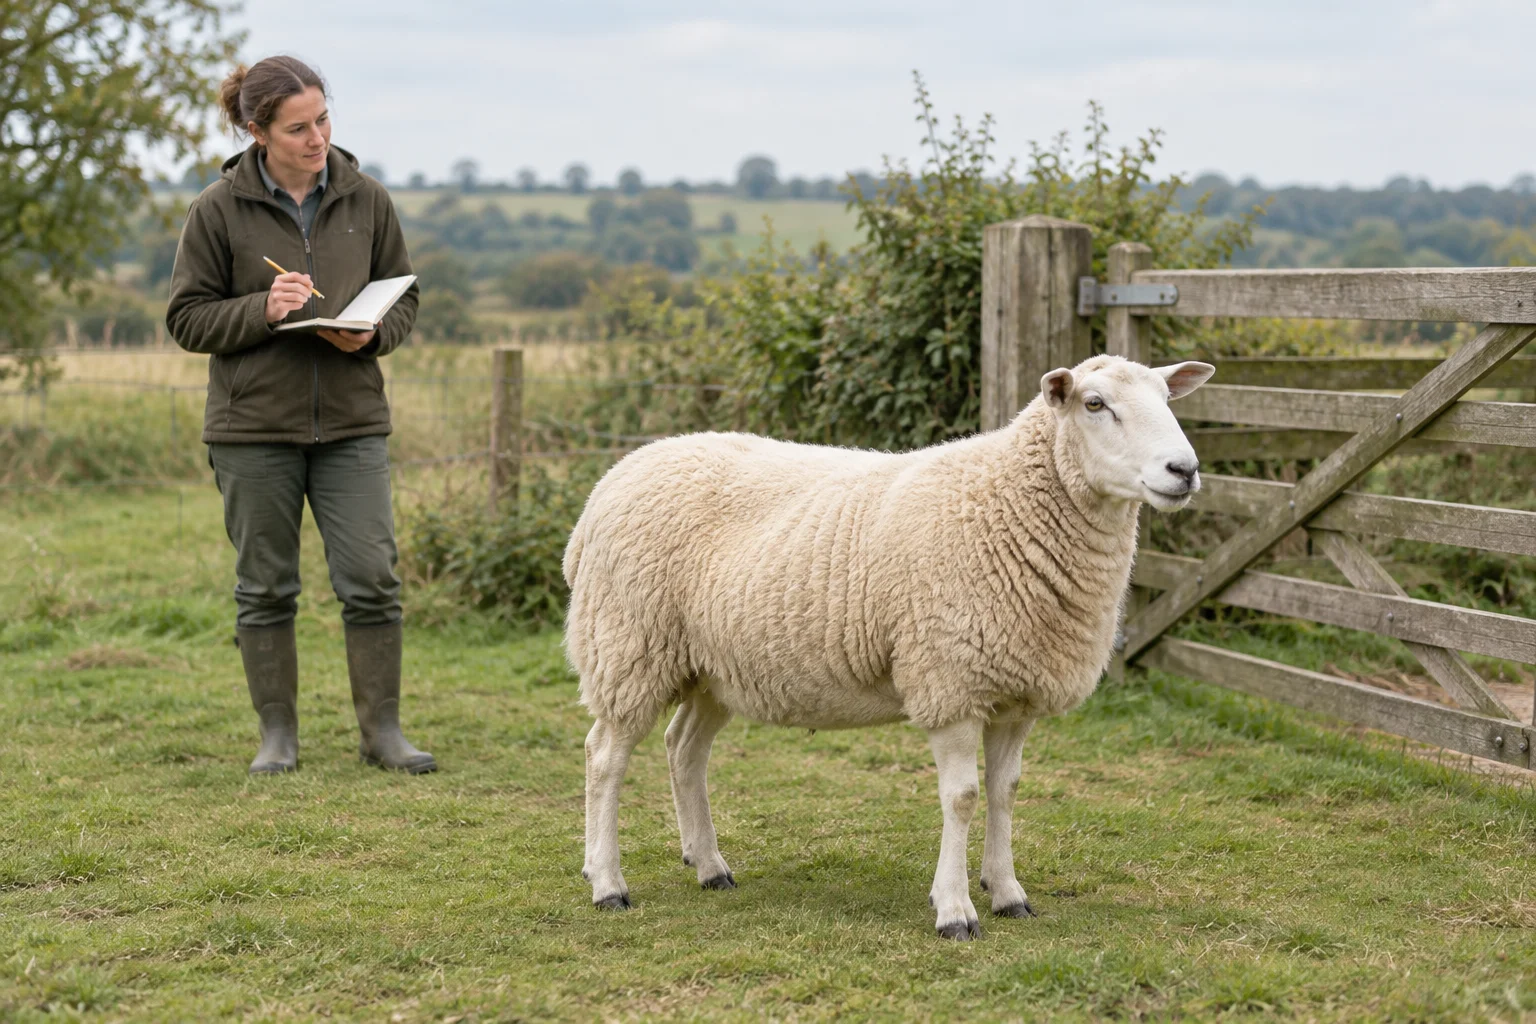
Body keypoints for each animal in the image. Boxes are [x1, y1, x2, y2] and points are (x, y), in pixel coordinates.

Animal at [563, 354, 1215, 940]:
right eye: (1094, 404)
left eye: (1167, 397)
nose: (1183, 470)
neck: (1007, 502)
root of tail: (613, 480)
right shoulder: (950, 681)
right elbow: (962, 796)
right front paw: (955, 910)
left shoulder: (1016, 692)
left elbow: (1004, 793)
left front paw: (1008, 893)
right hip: (627, 643)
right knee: (604, 755)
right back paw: (607, 883)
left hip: (713, 667)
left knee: (684, 750)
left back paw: (709, 866)